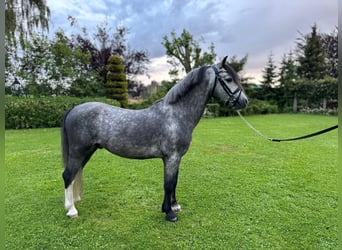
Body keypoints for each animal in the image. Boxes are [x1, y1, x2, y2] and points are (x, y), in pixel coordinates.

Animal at [62, 56, 248, 221]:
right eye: (228, 79)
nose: (244, 102)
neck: (176, 114)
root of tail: (74, 109)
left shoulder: (176, 158)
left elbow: (174, 182)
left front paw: (174, 206)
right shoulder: (171, 157)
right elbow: (168, 184)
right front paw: (169, 213)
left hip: (87, 151)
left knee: (75, 174)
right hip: (78, 151)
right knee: (68, 175)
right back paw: (71, 210)